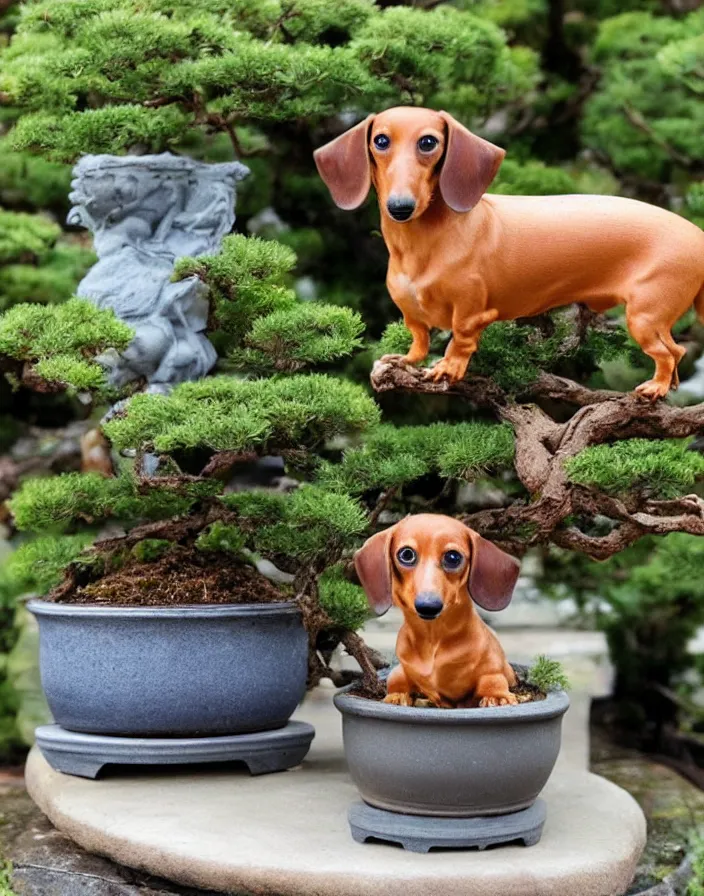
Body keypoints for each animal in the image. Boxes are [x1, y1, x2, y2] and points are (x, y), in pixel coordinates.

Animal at [316, 106, 704, 400]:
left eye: (428, 142)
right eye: (380, 140)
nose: (400, 207)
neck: (422, 245)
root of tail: (697, 236)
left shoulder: (471, 312)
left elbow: (460, 340)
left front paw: (449, 367)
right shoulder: (411, 313)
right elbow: (420, 338)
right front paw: (408, 360)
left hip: (644, 316)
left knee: (667, 353)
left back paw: (655, 387)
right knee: (678, 350)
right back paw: (668, 387)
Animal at [354, 516, 520, 712]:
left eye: (453, 557)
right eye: (407, 554)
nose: (428, 606)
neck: (433, 640)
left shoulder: (492, 668)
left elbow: (492, 679)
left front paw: (497, 696)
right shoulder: (403, 669)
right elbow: (396, 679)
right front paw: (396, 695)